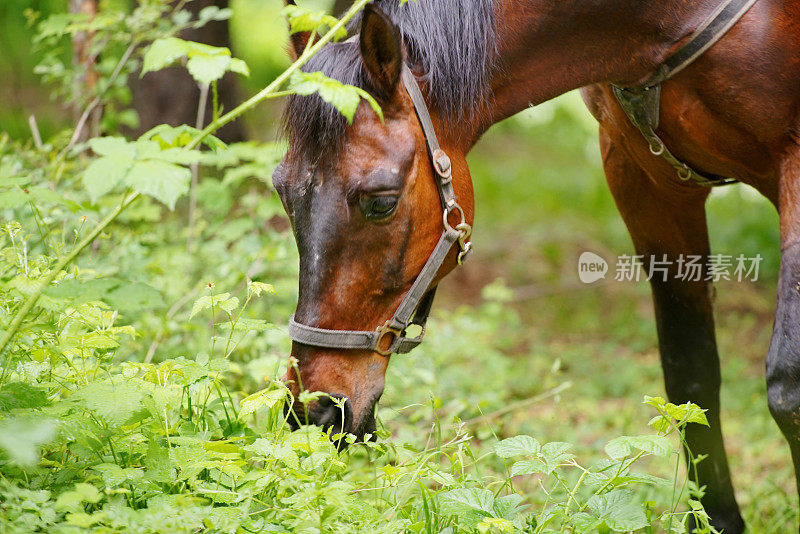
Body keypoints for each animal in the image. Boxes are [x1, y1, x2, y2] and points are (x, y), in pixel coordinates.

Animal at [274, 1, 800, 532]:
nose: (314, 409)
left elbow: (787, 388)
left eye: (381, 202)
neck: (660, 23)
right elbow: (689, 376)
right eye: (281, 190)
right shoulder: (645, 180)